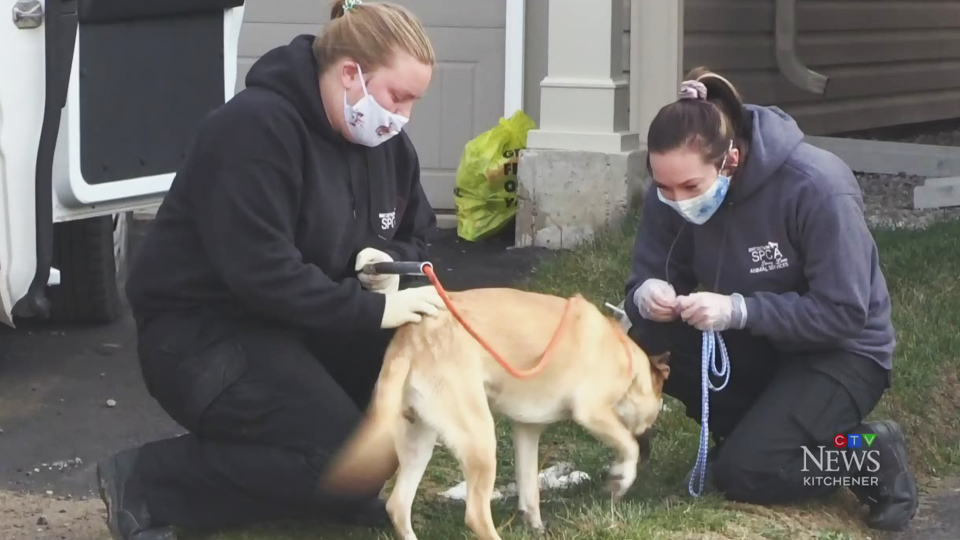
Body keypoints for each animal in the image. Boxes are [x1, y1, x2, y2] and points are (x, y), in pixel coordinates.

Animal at [320, 288, 668, 536]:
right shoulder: (591, 412)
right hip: (480, 439)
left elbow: (529, 487)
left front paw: (535, 526)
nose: (652, 449)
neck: (624, 353)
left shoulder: (527, 430)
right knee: (475, 515)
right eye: (653, 419)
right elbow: (628, 446)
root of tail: (410, 339)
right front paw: (622, 477)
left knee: (398, 506)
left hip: (419, 440)